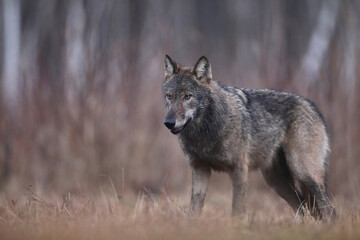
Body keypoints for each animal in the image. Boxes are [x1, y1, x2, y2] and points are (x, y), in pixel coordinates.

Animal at [162, 54, 336, 221]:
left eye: (187, 96)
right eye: (169, 96)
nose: (168, 123)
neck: (203, 133)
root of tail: (313, 107)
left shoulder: (239, 168)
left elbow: (237, 209)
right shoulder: (200, 168)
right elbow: (194, 207)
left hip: (303, 172)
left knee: (329, 209)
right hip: (277, 182)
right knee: (304, 208)